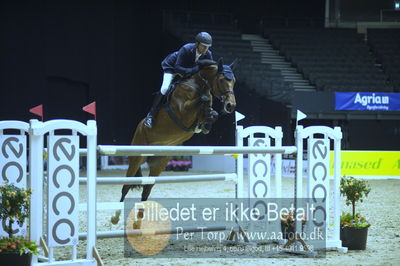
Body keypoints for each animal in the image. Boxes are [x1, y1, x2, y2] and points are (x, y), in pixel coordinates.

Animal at [111, 57, 236, 224]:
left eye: (234, 81)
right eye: (222, 80)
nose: (231, 105)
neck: (199, 85)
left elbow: (210, 113)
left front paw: (206, 122)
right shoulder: (183, 111)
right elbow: (202, 101)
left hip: (159, 164)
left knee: (146, 191)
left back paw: (139, 222)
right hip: (136, 158)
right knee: (125, 187)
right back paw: (115, 217)